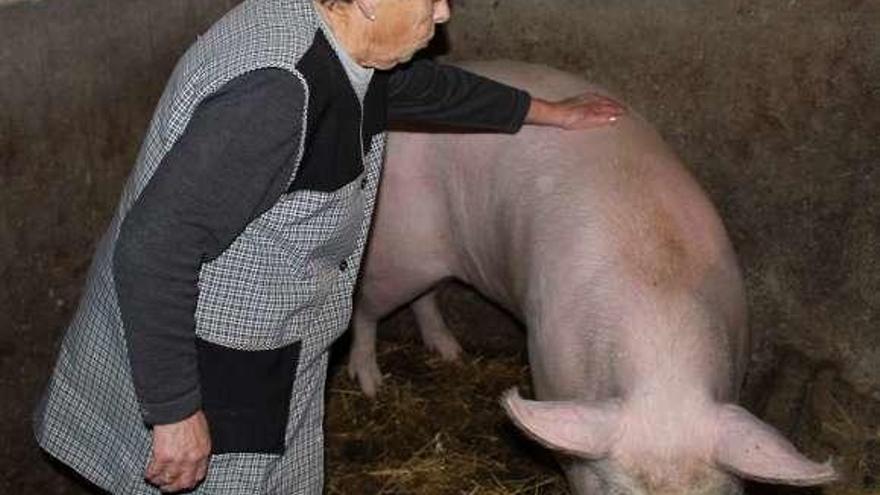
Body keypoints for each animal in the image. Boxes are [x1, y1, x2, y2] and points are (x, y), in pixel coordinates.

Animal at [348, 62, 836, 495]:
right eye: (615, 491)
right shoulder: (551, 367)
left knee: (425, 297)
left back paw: (451, 355)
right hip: (397, 245)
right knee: (366, 307)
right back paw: (371, 384)